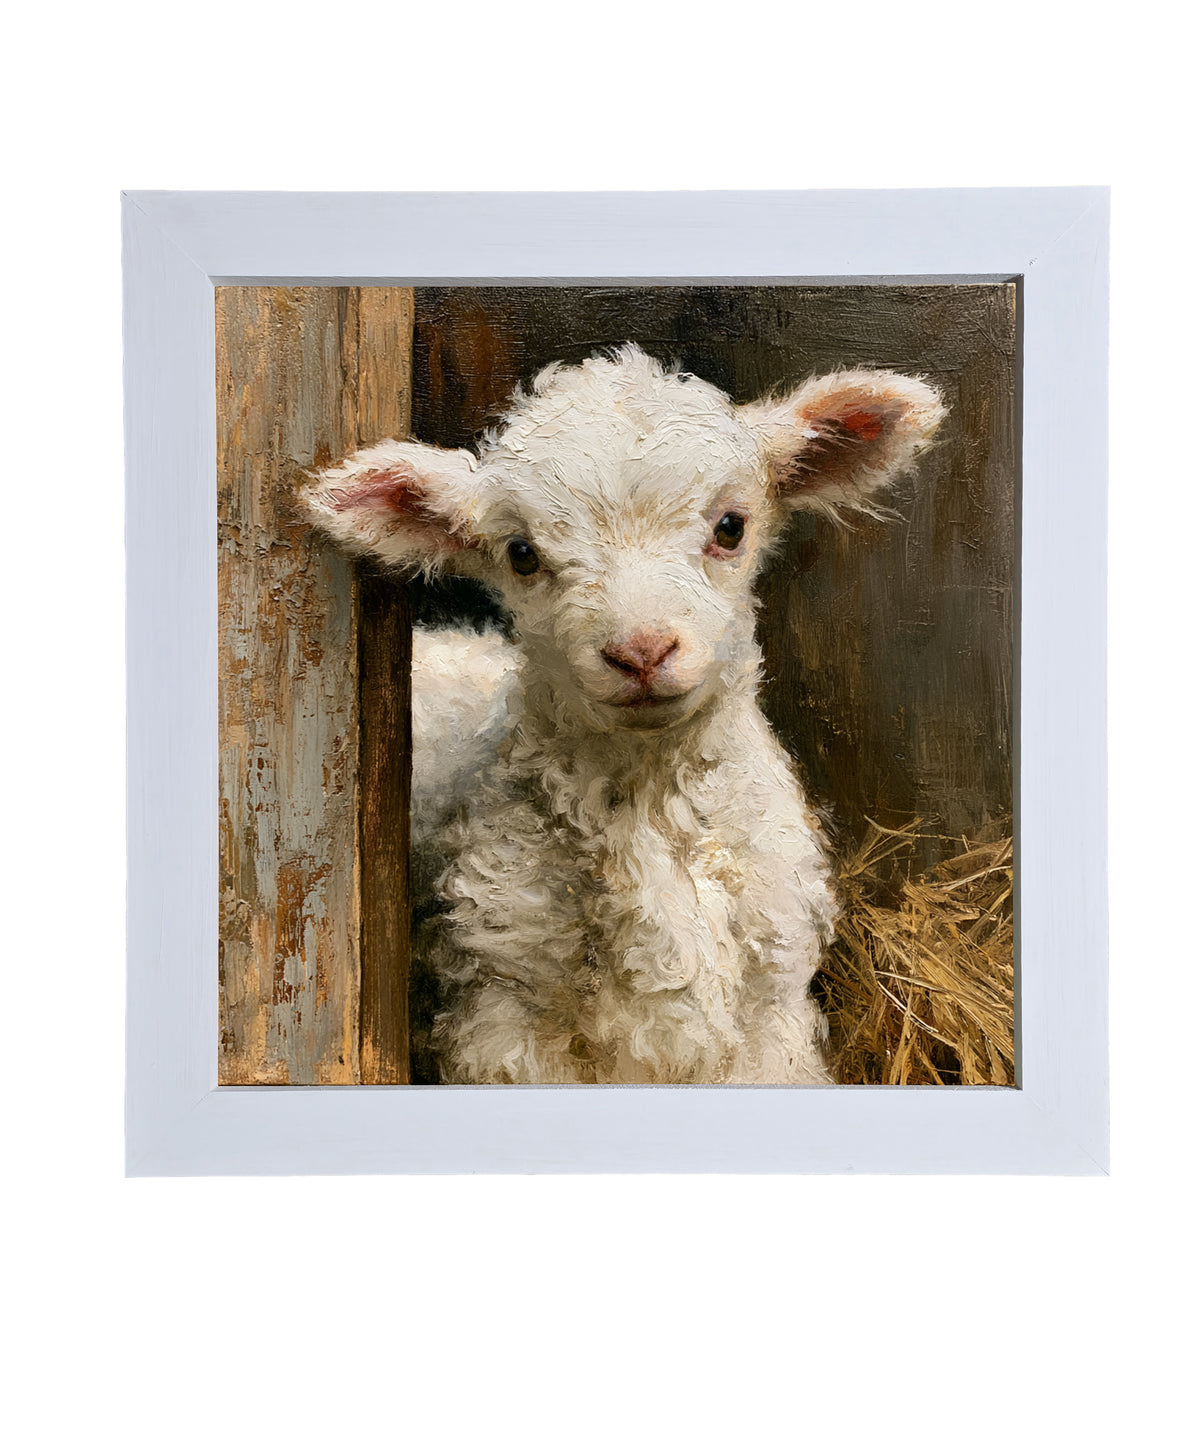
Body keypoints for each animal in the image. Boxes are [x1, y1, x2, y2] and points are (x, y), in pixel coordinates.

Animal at [305, 345, 945, 1084]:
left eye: (731, 527)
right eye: (521, 554)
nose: (640, 651)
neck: (650, 804)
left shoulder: (771, 1017)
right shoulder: (504, 1018)